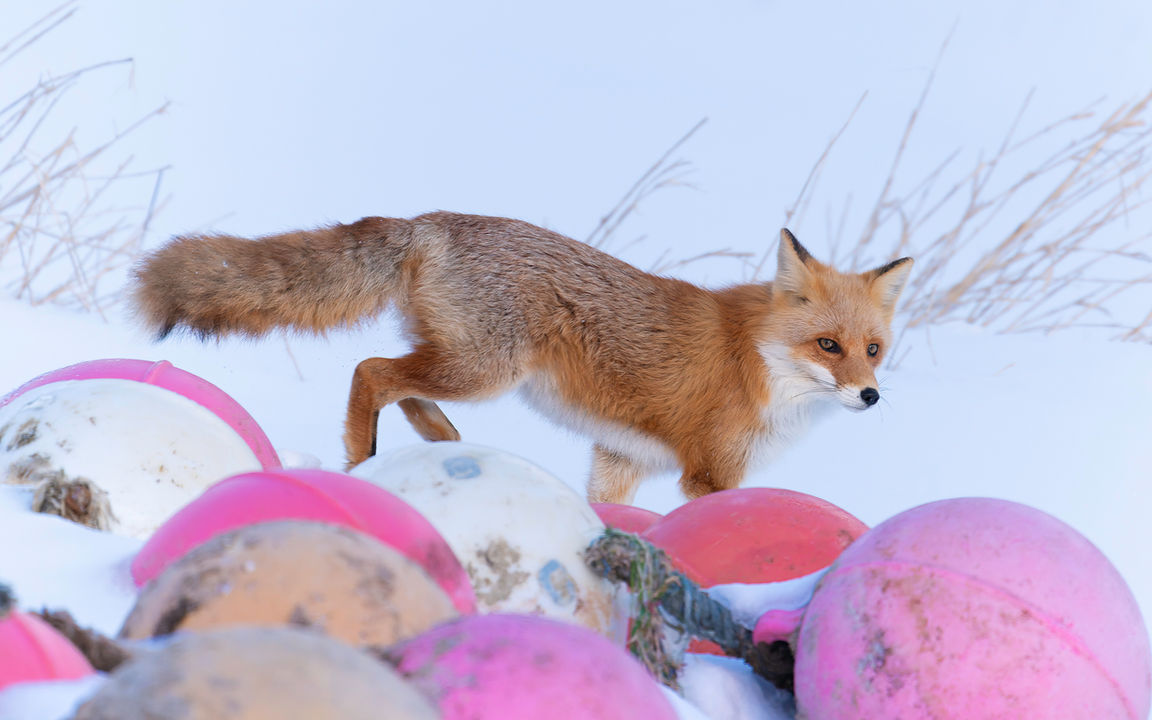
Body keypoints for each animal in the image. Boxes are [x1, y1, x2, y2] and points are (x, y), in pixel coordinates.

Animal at [132, 211, 912, 504]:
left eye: (874, 350)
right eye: (828, 346)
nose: (872, 395)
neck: (760, 361)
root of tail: (431, 221)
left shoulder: (619, 460)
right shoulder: (712, 475)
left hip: (463, 364)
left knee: (402, 383)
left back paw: (438, 439)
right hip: (485, 370)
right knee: (371, 372)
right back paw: (362, 458)